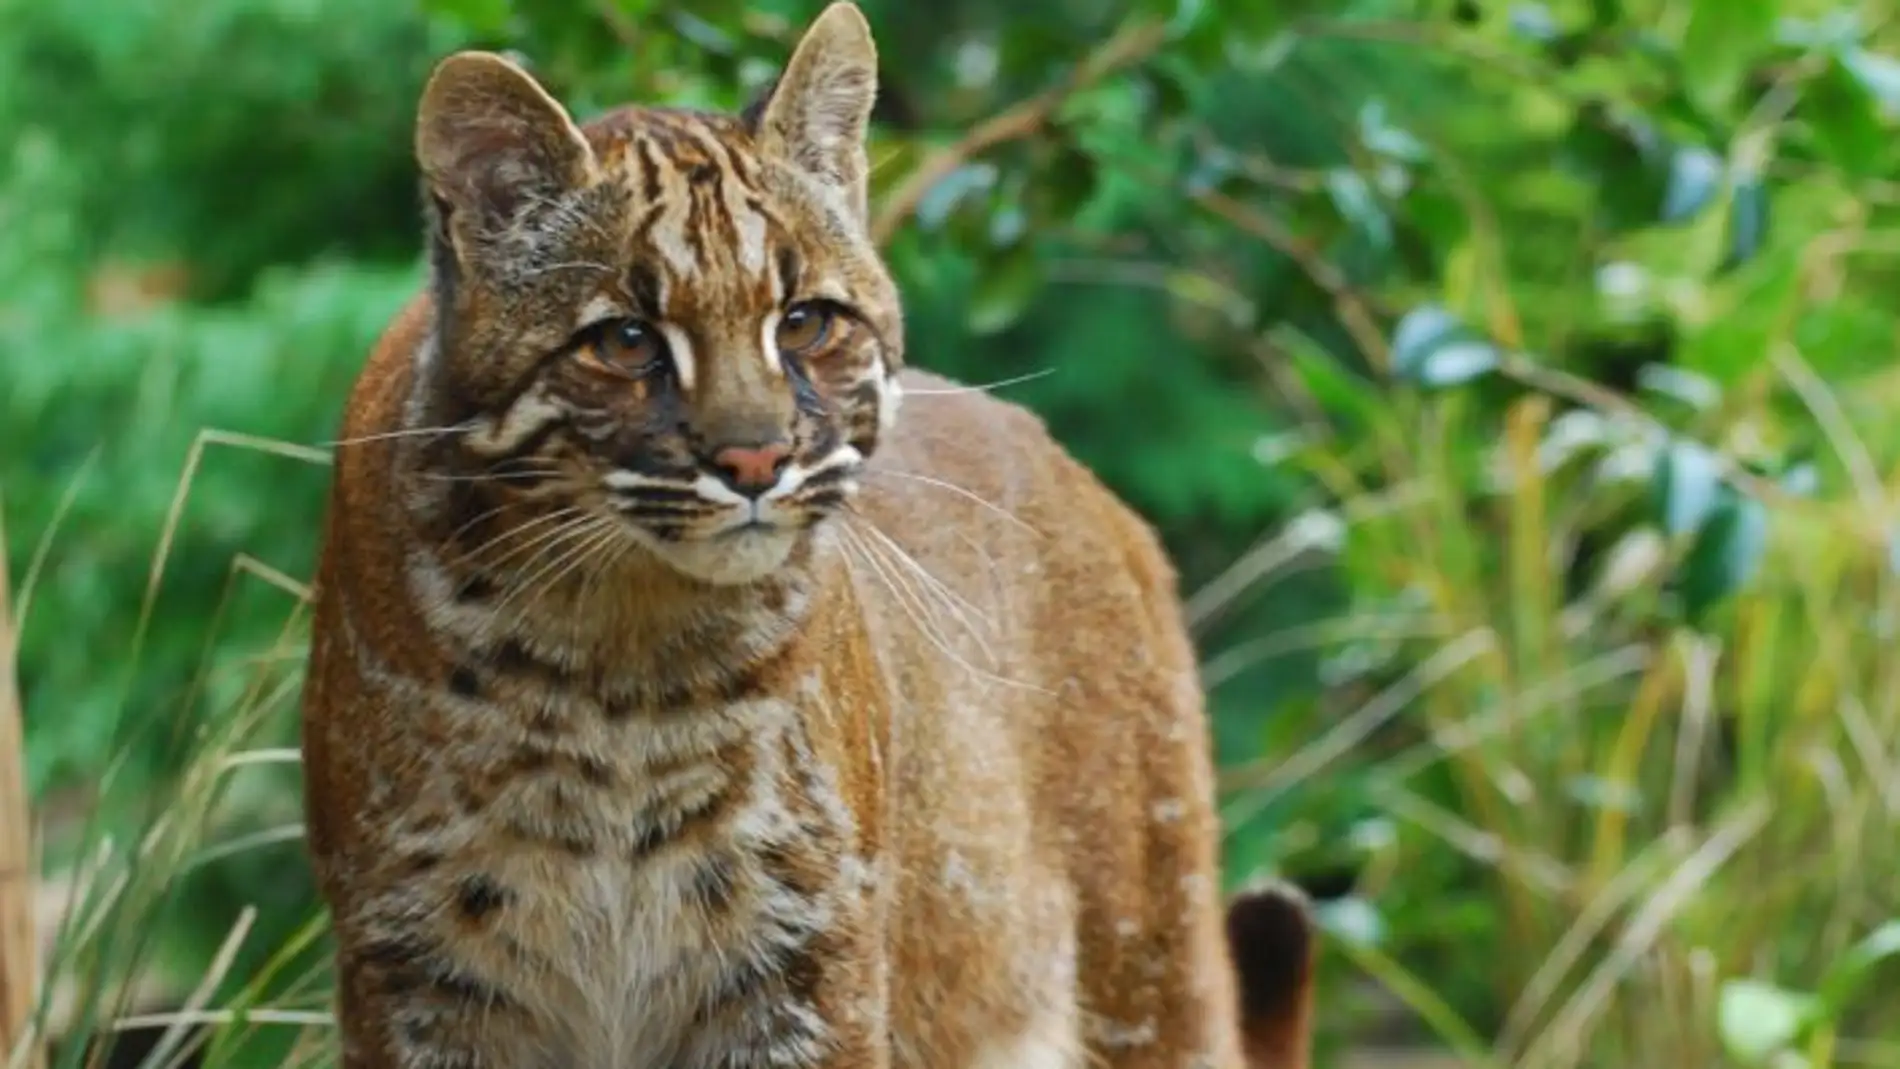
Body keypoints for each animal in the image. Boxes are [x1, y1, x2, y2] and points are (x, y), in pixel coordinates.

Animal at [300, 4, 1307, 1063]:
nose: (755, 461)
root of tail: (1091, 487)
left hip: (1150, 973)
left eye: (806, 323)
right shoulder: (416, 966)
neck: (617, 660)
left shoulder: (805, 956)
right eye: (625, 340)